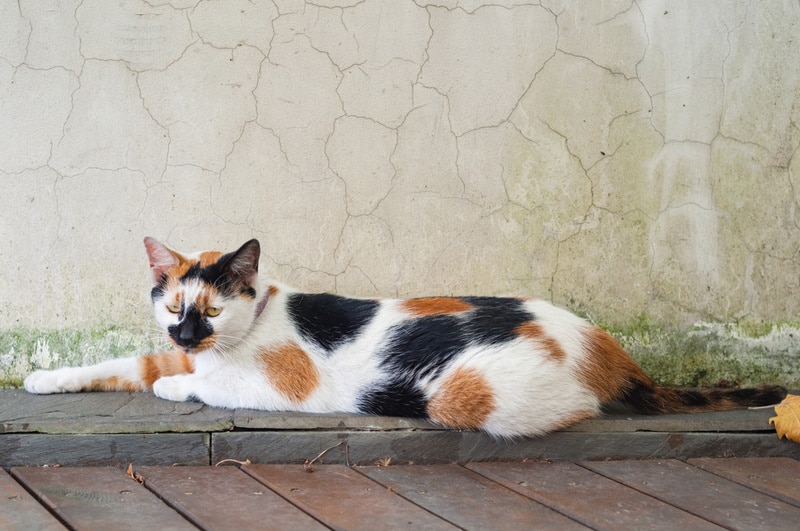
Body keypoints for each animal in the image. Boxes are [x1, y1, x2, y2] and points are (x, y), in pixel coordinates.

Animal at [26, 239, 788, 438]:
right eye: (175, 308)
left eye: (210, 309)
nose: (189, 334)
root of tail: (602, 345)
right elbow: (125, 362)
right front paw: (40, 378)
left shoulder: (280, 385)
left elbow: (201, 385)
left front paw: (175, 386)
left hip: (461, 391)